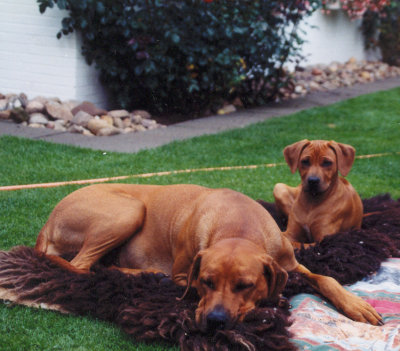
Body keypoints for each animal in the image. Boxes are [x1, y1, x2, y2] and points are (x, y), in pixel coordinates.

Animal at [35, 183, 382, 332]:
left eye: (245, 285)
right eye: (205, 282)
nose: (215, 321)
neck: (239, 225)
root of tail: (47, 223)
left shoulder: (290, 262)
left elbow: (326, 277)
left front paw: (357, 305)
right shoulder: (182, 274)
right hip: (129, 209)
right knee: (82, 268)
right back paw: (142, 275)